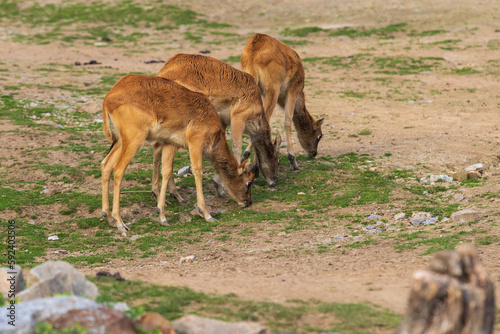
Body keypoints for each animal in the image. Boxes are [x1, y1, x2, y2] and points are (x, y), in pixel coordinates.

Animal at [101, 74, 258, 234]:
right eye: (249, 182)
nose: (248, 202)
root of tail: (109, 97)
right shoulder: (195, 143)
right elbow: (197, 171)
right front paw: (206, 214)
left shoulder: (170, 144)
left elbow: (166, 171)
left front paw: (162, 216)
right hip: (134, 140)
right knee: (118, 169)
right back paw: (120, 223)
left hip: (121, 141)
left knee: (106, 165)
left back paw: (109, 217)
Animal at [156, 53, 282, 192]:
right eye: (278, 160)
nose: (275, 181)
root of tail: (161, 73)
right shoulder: (238, 116)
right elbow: (236, 147)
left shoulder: (223, 120)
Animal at [241, 33, 326, 170]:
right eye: (319, 135)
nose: (313, 153)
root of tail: (253, 54)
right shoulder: (293, 89)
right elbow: (288, 120)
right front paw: (293, 160)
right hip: (272, 91)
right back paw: (255, 164)